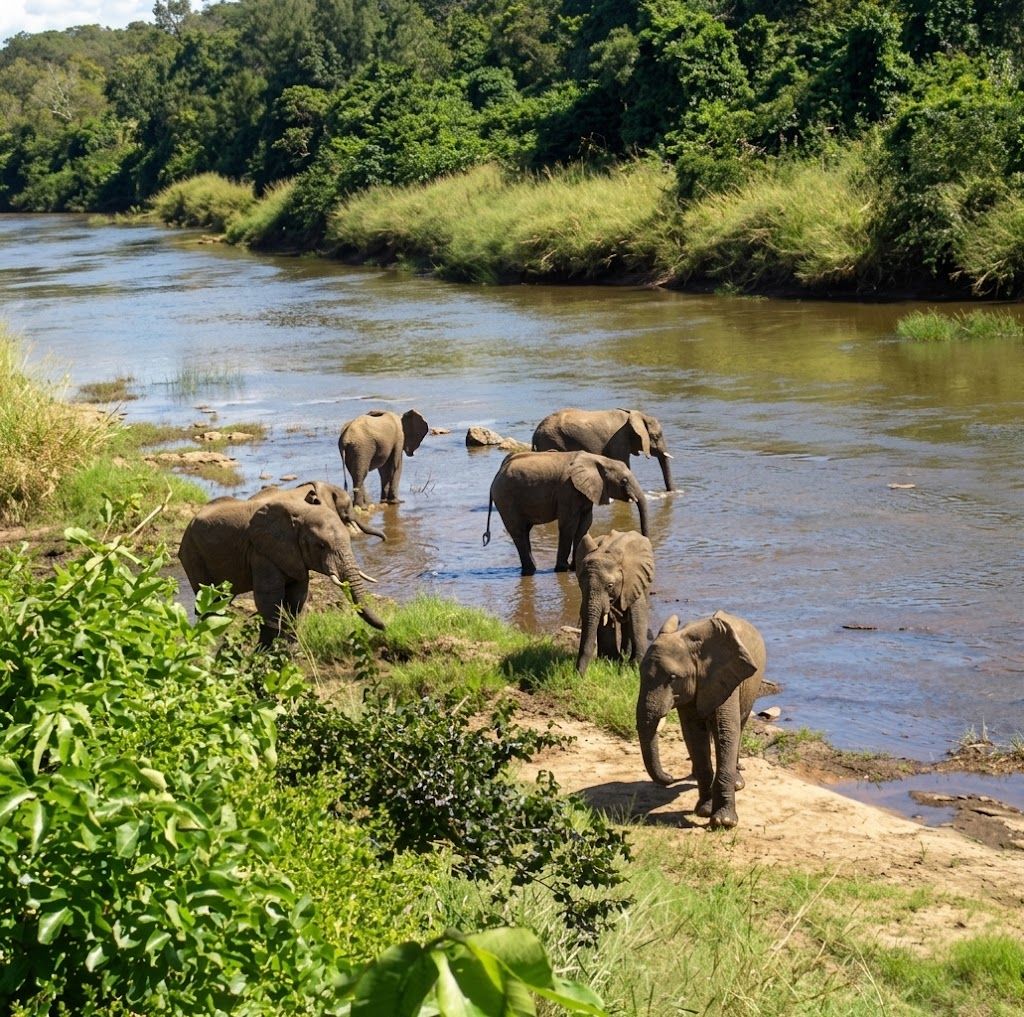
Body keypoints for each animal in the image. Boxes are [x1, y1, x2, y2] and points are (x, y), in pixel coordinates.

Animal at [178, 493, 385, 646]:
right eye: (321, 546)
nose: (385, 627)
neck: (301, 512)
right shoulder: (261, 551)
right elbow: (269, 596)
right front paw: (268, 651)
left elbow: (298, 594)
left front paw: (290, 648)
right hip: (192, 554)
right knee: (209, 600)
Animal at [483, 450, 649, 576]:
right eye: (624, 481)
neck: (597, 459)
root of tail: (498, 472)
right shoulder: (567, 489)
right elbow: (569, 525)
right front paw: (563, 569)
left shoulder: (585, 492)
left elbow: (584, 525)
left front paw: (576, 567)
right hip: (505, 498)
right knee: (518, 532)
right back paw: (530, 570)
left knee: (524, 531)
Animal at [532, 408, 674, 492]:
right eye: (656, 436)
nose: (670, 493)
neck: (636, 416)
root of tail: (536, 433)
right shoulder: (619, 438)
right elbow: (623, 463)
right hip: (552, 440)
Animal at [575, 529, 654, 676]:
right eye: (580, 585)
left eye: (610, 585)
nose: (579, 676)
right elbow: (604, 620)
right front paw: (611, 661)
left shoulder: (633, 580)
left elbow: (637, 616)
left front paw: (634, 667)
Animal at [636, 611, 766, 829]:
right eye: (639, 675)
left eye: (672, 678)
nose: (670, 777)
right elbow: (694, 735)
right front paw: (704, 811)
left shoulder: (724, 676)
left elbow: (727, 732)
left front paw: (724, 822)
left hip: (752, 687)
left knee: (740, 724)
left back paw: (738, 783)